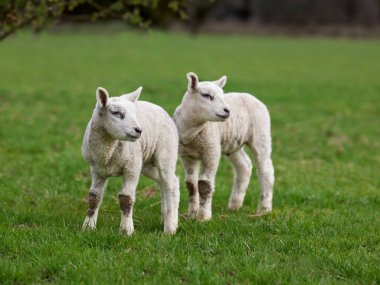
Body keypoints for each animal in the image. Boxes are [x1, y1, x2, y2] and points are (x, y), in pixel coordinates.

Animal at [81, 87, 180, 234]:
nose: (139, 130)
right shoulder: (97, 169)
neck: (107, 153)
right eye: (116, 113)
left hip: (166, 152)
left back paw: (170, 227)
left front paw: (126, 230)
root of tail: (158, 107)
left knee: (171, 184)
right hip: (147, 164)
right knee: (164, 181)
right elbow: (94, 197)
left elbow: (126, 198)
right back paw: (166, 217)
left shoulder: (132, 166)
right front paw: (88, 227)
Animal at [174, 71, 274, 220]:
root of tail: (249, 95)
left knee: (266, 170)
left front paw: (203, 217)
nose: (227, 111)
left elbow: (204, 184)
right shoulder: (187, 155)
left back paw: (264, 208)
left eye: (222, 95)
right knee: (244, 166)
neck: (192, 133)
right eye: (206, 95)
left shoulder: (211, 150)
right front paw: (192, 214)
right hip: (232, 143)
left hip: (261, 134)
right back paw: (234, 205)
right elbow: (191, 184)